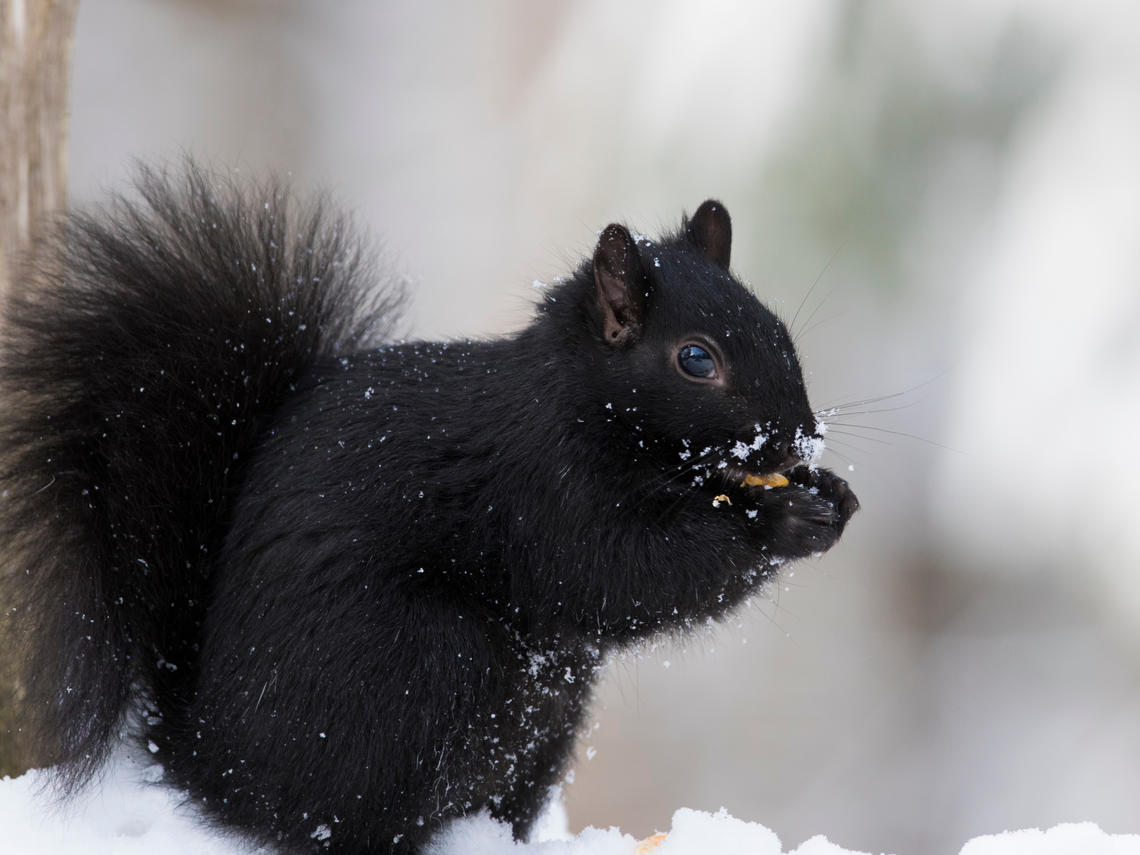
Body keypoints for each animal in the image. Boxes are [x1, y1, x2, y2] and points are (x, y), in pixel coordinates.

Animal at [0, 163, 857, 854]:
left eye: (780, 328)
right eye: (696, 359)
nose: (801, 439)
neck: (579, 403)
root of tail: (213, 757)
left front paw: (833, 496)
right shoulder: (544, 494)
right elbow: (624, 574)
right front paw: (780, 522)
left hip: (549, 711)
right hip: (422, 667)